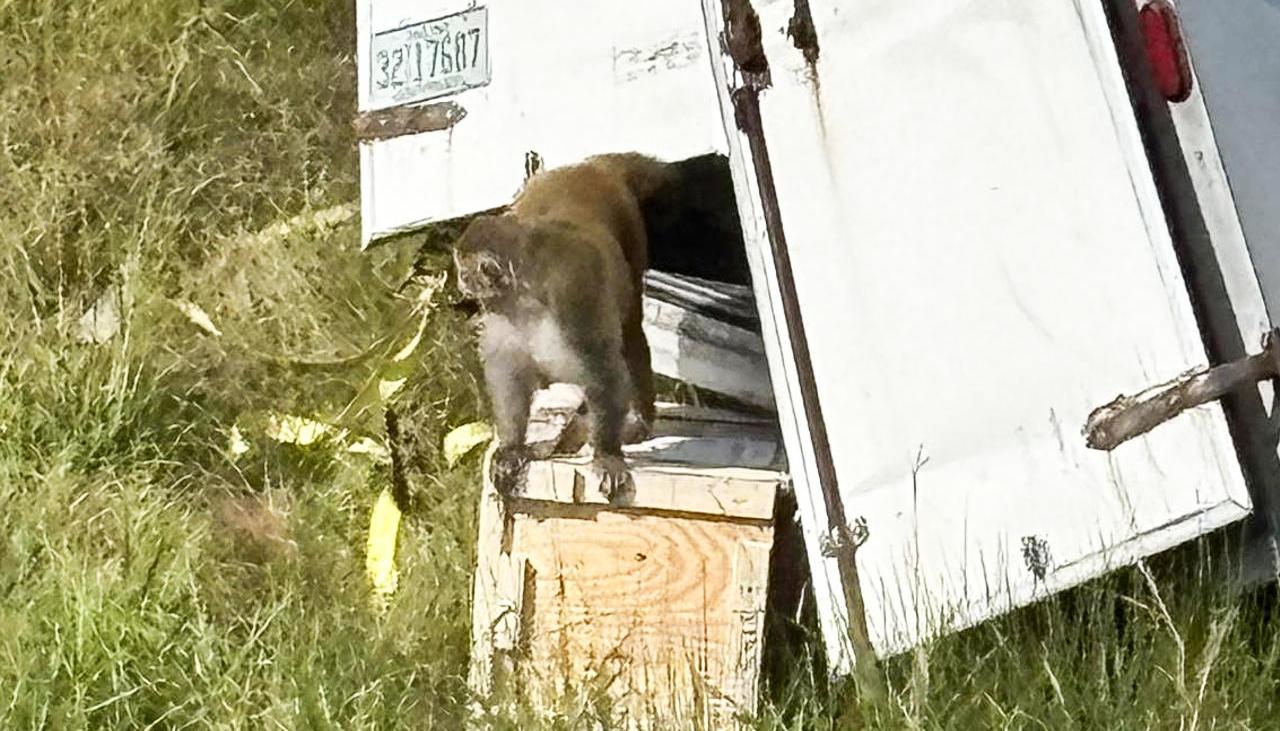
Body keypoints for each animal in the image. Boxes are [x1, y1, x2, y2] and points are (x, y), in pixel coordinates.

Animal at [453, 153, 674, 501]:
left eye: (464, 271)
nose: (460, 282)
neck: (525, 295)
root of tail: (589, 167)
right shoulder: (502, 314)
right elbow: (509, 374)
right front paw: (512, 447)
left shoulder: (572, 295)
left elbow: (603, 369)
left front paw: (607, 454)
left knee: (629, 332)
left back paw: (638, 419)